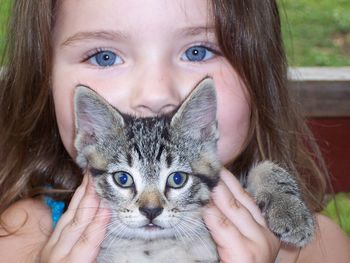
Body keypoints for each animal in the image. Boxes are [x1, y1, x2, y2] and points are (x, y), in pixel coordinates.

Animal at [74, 78, 314, 263]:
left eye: (177, 179)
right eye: (123, 178)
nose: (151, 210)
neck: (153, 246)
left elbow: (266, 166)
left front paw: (291, 211)